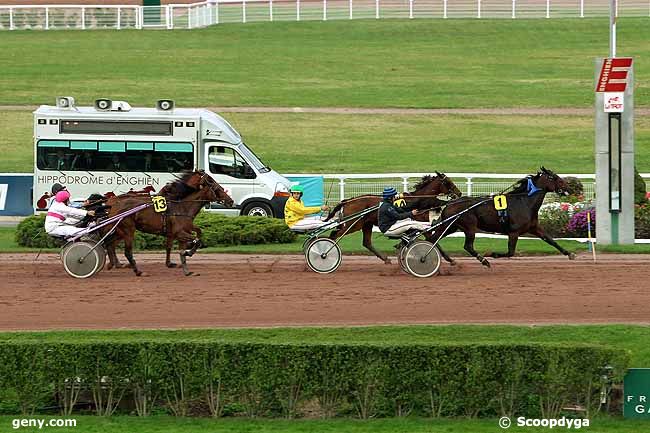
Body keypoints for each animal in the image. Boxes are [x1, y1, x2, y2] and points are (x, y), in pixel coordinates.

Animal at [102, 170, 232, 276]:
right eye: (216, 187)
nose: (230, 201)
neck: (182, 207)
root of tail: (113, 205)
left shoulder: (179, 231)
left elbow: (195, 235)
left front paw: (185, 269)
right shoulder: (179, 233)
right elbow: (196, 241)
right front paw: (189, 252)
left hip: (119, 230)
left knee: (109, 243)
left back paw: (113, 264)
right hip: (128, 231)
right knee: (126, 251)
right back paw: (138, 271)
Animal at [324, 172, 460, 264]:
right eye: (448, 182)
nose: (459, 193)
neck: (419, 200)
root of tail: (348, 201)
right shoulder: (420, 224)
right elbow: (433, 241)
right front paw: (450, 259)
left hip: (366, 224)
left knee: (366, 242)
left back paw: (385, 259)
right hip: (354, 224)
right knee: (334, 235)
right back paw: (326, 252)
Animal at [430, 167, 572, 268]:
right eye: (555, 178)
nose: (569, 187)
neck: (524, 202)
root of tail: (449, 204)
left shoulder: (534, 228)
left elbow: (551, 240)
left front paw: (569, 253)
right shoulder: (514, 232)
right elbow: (511, 252)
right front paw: (491, 254)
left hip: (451, 226)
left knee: (434, 238)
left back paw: (449, 259)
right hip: (469, 226)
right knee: (467, 246)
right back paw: (484, 260)